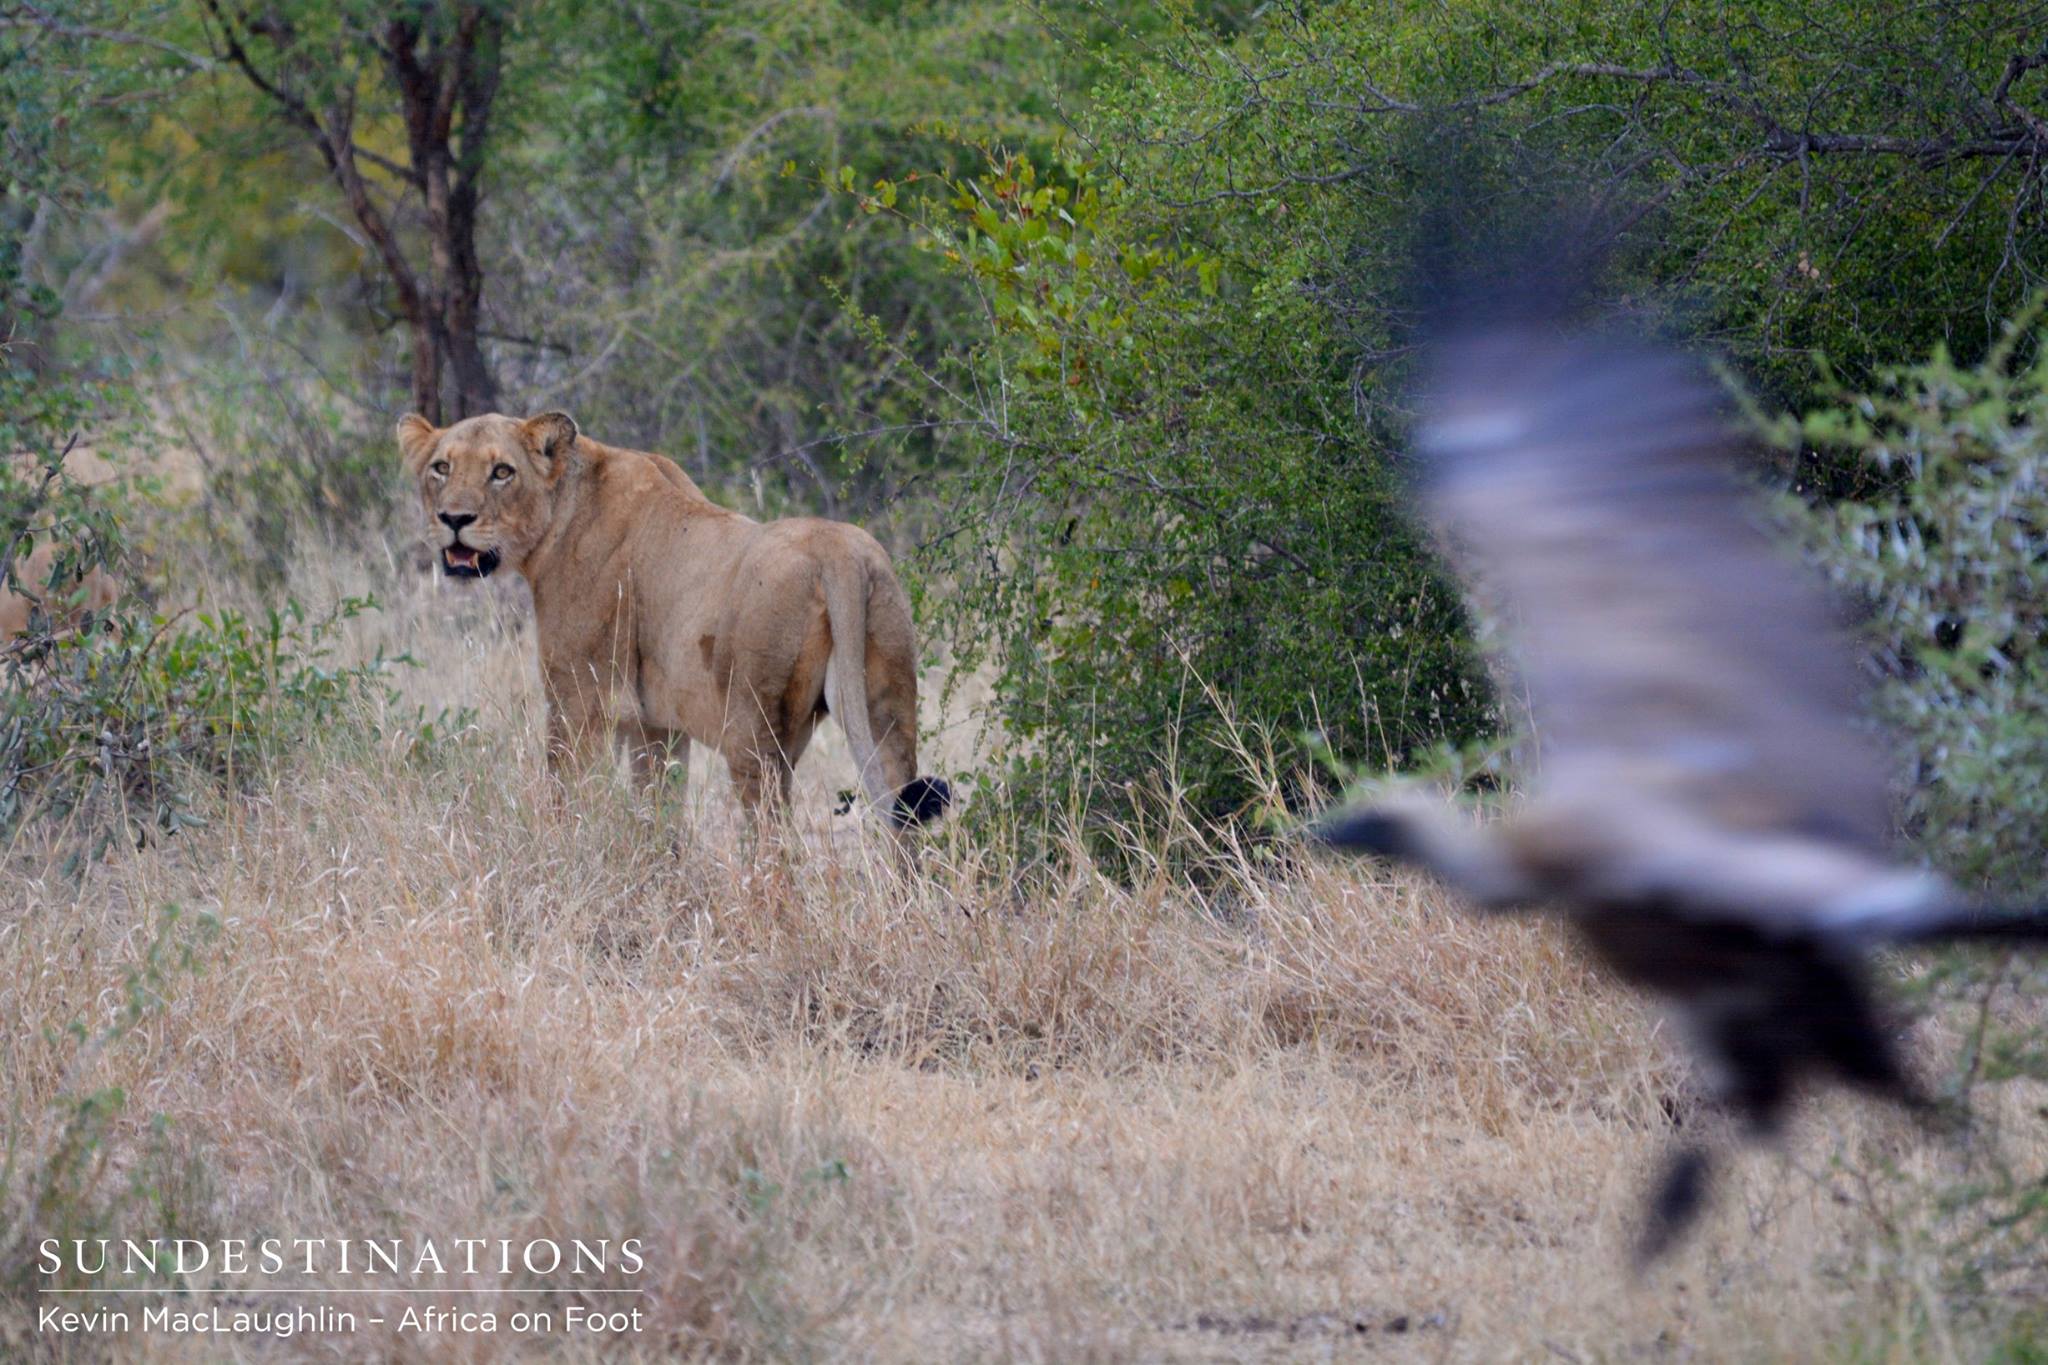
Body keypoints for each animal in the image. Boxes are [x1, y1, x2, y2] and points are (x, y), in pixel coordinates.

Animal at [395, 409, 950, 830]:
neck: (560, 515)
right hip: (885, 706)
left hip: (754, 733)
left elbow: (566, 793)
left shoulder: (579, 701)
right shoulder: (656, 726)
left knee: (775, 843)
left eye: (502, 472)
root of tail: (839, 551)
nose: (454, 520)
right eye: (441, 467)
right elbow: (658, 813)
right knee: (904, 821)